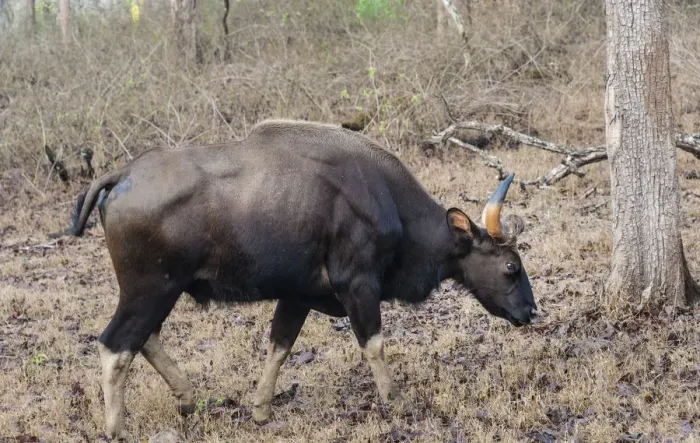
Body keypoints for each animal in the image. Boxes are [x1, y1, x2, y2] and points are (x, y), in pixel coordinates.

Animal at [68, 119, 537, 439]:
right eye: (511, 266)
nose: (531, 311)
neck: (387, 203)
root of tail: (124, 175)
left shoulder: (297, 296)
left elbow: (280, 345)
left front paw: (261, 409)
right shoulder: (359, 286)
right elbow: (374, 344)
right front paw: (396, 401)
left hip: (160, 290)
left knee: (144, 338)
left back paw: (187, 397)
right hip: (150, 288)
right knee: (116, 344)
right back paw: (117, 427)